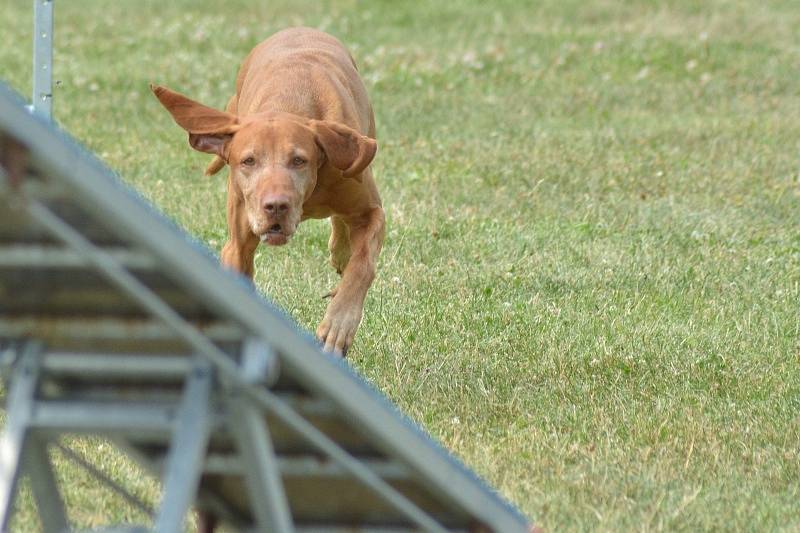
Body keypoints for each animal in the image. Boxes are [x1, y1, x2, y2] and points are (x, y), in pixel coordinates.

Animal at [154, 27, 388, 356]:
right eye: (248, 161)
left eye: (299, 160)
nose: (276, 206)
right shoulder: (238, 246)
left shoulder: (371, 211)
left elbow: (363, 265)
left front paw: (338, 325)